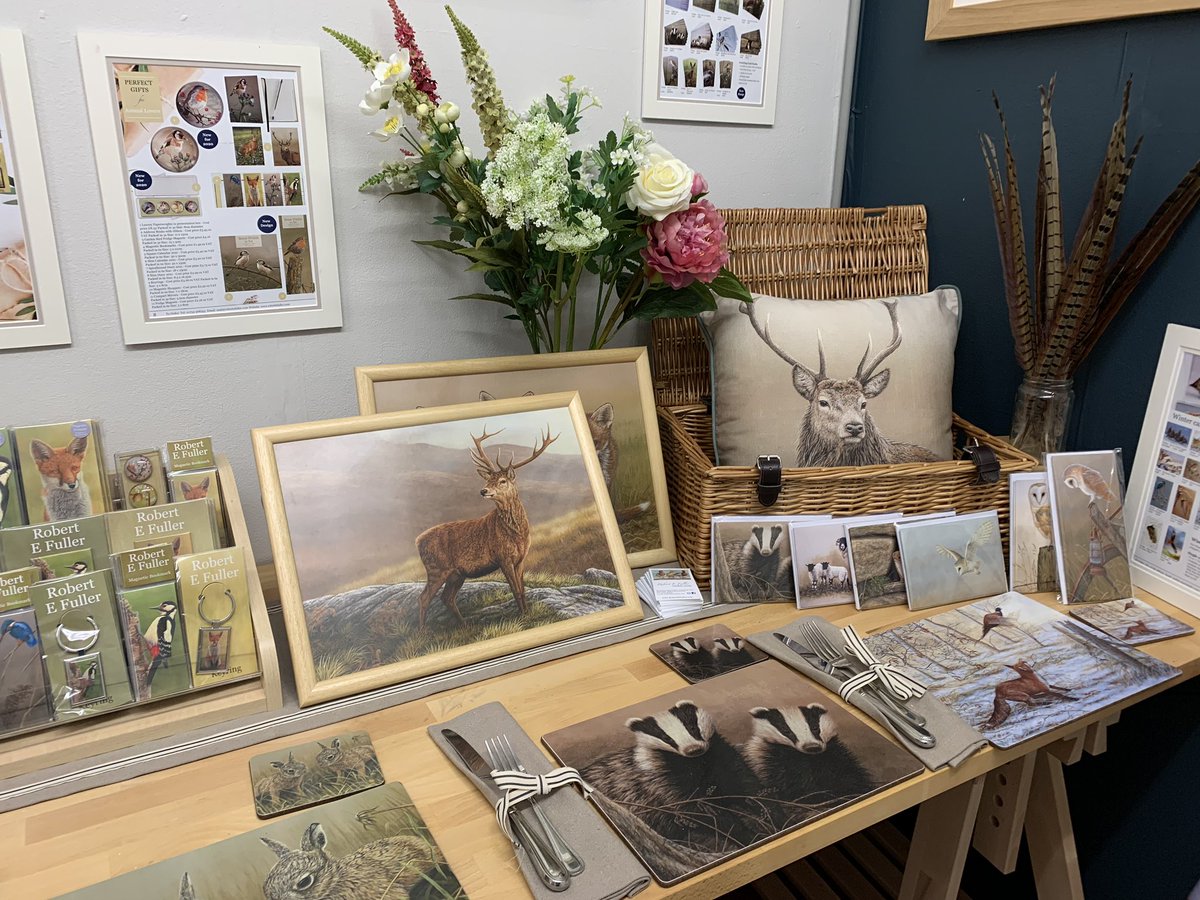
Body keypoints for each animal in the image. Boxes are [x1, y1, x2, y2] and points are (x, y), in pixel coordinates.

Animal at [413, 426, 558, 630]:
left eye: (503, 480)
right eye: (488, 480)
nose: (483, 491)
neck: (517, 534)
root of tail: (417, 541)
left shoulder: (520, 559)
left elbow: (521, 589)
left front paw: (527, 613)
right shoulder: (503, 557)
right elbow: (515, 589)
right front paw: (522, 617)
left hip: (456, 574)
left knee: (446, 597)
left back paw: (465, 625)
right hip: (436, 568)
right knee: (424, 598)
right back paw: (423, 632)